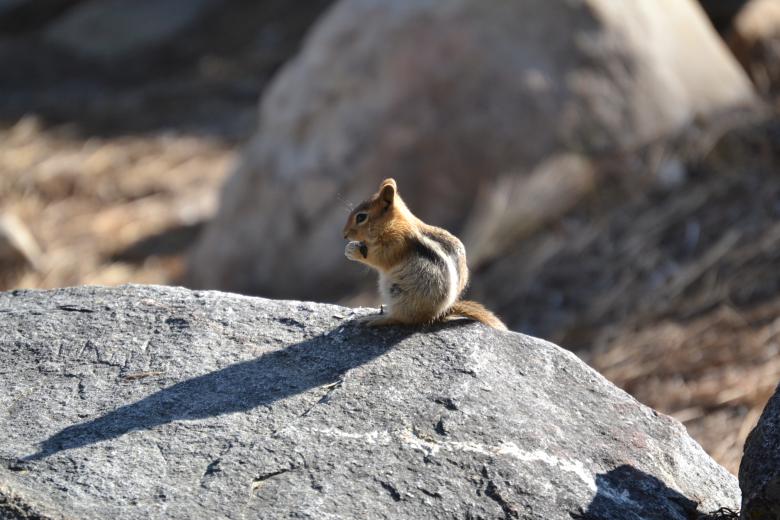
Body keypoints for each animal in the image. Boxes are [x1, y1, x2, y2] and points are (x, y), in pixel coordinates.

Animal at [342, 178, 507, 330]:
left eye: (361, 217)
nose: (344, 235)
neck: (394, 223)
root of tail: (439, 314)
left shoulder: (396, 244)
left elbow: (380, 258)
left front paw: (352, 251)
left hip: (400, 294)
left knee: (402, 319)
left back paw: (376, 319)